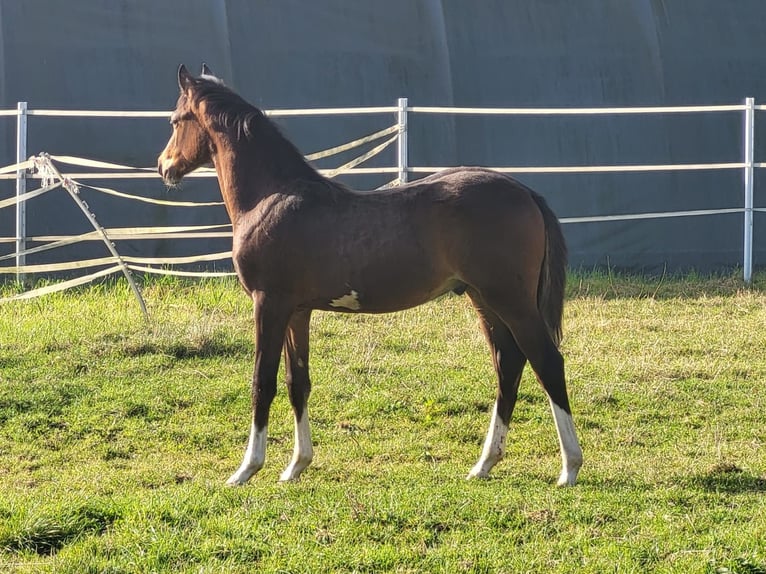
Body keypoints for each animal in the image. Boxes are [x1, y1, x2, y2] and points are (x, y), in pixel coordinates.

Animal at [159, 66, 584, 490]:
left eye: (176, 120)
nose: (165, 166)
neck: (271, 199)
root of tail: (526, 191)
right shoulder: (297, 312)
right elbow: (298, 383)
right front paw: (296, 466)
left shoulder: (269, 304)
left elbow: (262, 383)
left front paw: (246, 469)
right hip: (483, 299)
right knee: (508, 364)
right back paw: (484, 464)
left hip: (511, 301)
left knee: (547, 362)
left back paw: (569, 468)